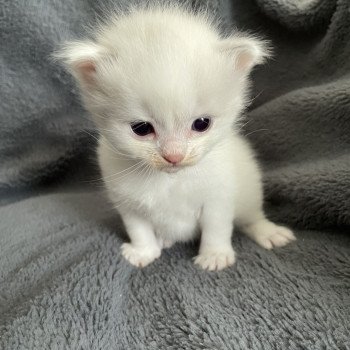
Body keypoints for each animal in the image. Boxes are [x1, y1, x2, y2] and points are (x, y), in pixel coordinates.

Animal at [54, 4, 296, 270]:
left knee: (251, 216)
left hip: (250, 190)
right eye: (141, 128)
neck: (170, 180)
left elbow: (216, 227)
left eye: (202, 124)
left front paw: (214, 256)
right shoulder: (128, 203)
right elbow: (139, 229)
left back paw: (268, 232)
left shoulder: (218, 197)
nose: (173, 156)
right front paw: (144, 252)